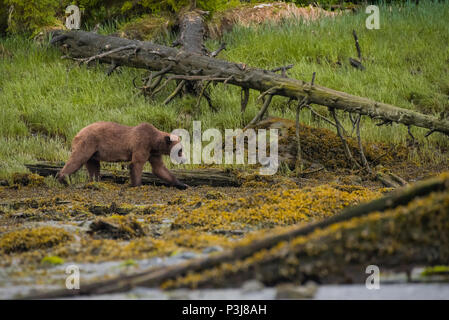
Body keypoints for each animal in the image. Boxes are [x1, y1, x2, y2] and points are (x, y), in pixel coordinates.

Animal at [57, 121, 187, 189]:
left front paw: (182, 184)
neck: (154, 142)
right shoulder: (142, 144)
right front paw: (137, 184)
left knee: (94, 167)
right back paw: (63, 179)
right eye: (180, 150)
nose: (184, 160)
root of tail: (77, 133)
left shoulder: (153, 153)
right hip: (87, 143)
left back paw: (95, 182)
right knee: (77, 159)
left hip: (94, 152)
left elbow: (159, 169)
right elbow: (136, 164)